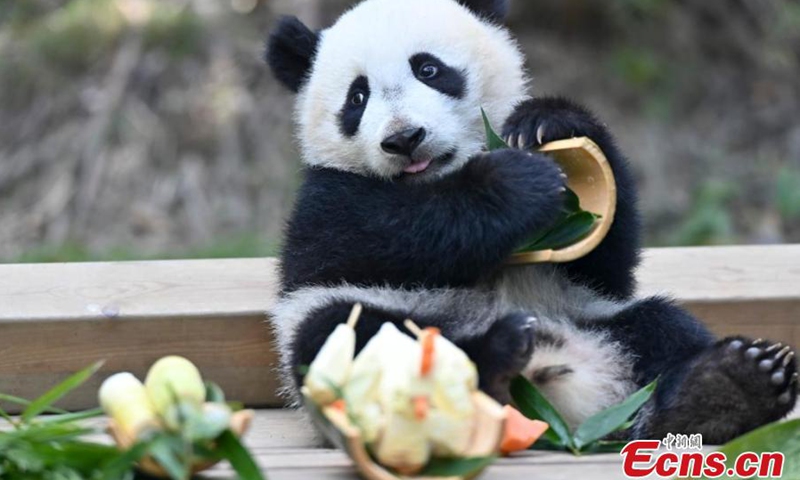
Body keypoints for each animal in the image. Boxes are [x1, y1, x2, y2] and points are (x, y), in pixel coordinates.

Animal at [265, 0, 797, 443]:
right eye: (357, 98)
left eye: (429, 69)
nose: (404, 138)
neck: (435, 176)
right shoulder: (322, 198)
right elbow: (368, 237)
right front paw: (517, 185)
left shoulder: (590, 281)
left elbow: (608, 262)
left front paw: (550, 123)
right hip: (368, 332)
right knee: (349, 336)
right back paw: (496, 357)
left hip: (589, 316)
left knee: (661, 326)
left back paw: (726, 389)